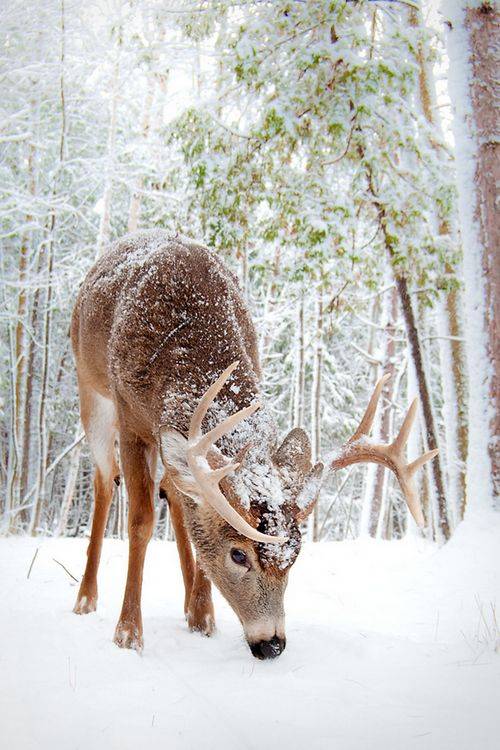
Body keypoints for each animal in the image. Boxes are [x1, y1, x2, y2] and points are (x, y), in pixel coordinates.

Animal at [70, 229, 438, 656]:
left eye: (295, 555)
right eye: (238, 554)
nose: (271, 643)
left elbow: (193, 512)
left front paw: (203, 617)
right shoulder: (130, 417)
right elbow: (141, 521)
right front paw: (128, 632)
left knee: (176, 494)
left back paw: (194, 608)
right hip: (91, 391)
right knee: (104, 481)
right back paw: (85, 598)